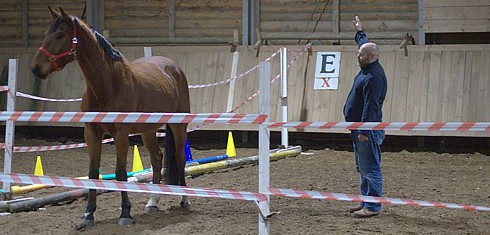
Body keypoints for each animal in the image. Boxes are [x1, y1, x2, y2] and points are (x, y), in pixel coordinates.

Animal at [30, 5, 191, 229]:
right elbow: (92, 173)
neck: (108, 84)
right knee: (157, 158)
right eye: (46, 33)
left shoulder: (121, 134)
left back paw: (185, 199)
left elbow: (120, 173)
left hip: (178, 125)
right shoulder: (92, 133)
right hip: (148, 130)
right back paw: (152, 201)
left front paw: (125, 214)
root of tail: (173, 68)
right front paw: (88, 215)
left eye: (60, 34)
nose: (36, 68)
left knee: (179, 157)